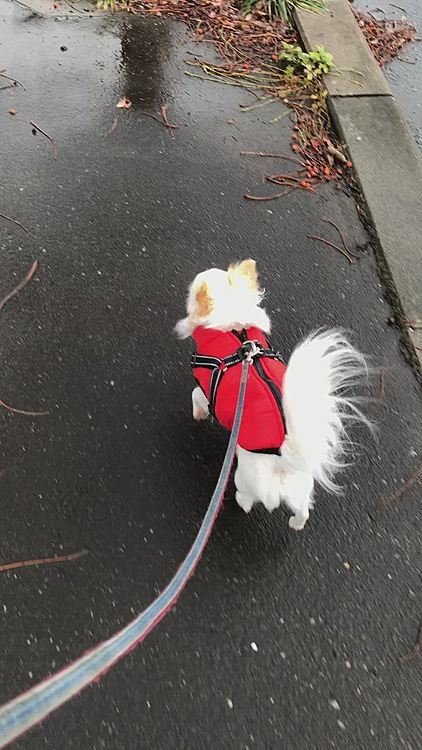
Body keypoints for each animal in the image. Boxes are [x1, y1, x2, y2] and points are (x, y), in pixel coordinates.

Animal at [176, 262, 368, 532]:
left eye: (191, 292)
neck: (236, 330)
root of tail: (285, 458)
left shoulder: (205, 388)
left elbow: (196, 396)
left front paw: (199, 414)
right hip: (300, 490)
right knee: (302, 511)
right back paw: (296, 523)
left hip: (244, 478)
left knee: (246, 498)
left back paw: (239, 501)